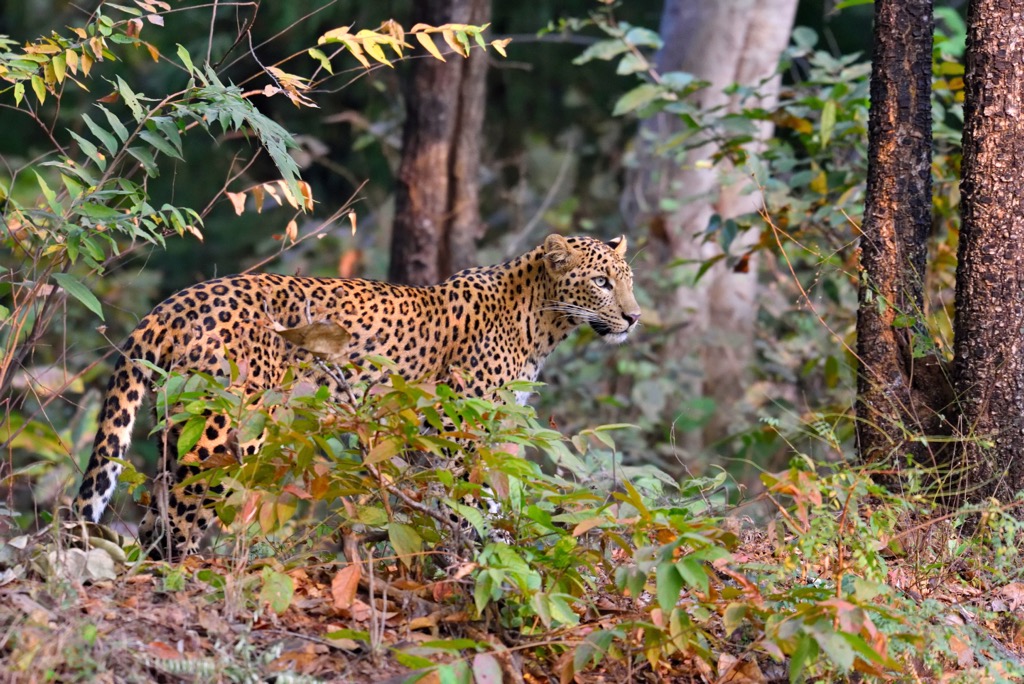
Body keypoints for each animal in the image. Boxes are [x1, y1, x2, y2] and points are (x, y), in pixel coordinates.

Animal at [73, 234, 641, 559]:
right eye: (600, 282)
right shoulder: (456, 430)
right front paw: (489, 559)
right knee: (177, 521)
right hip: (224, 435)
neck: (542, 321)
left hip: (181, 427)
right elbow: (471, 503)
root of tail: (172, 302)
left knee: (154, 516)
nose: (634, 317)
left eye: (627, 280)